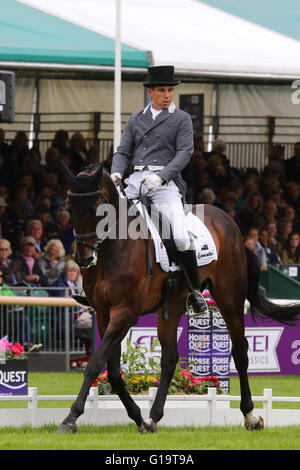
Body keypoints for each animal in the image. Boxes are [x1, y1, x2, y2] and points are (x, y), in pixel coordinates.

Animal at [57, 162, 298, 434]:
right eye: (69, 206)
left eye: (96, 207)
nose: (83, 258)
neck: (114, 248)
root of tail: (230, 222)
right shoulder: (104, 314)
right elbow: (114, 373)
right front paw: (138, 418)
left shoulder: (125, 313)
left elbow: (94, 365)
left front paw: (70, 418)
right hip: (172, 306)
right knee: (170, 358)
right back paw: (153, 417)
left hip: (230, 298)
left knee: (240, 351)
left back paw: (251, 416)